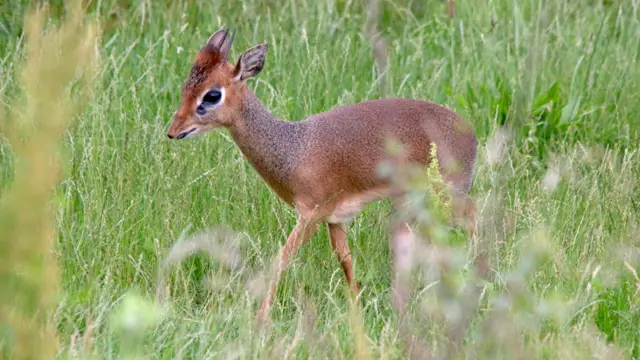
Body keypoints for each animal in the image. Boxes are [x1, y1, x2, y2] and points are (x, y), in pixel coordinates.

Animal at [168, 27, 478, 320]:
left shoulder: (311, 215)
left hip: (446, 195)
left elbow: (281, 258)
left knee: (472, 215)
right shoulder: (335, 220)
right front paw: (356, 310)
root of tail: (471, 132)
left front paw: (261, 319)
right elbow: (346, 262)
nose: (173, 131)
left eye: (212, 94)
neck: (294, 149)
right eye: (186, 85)